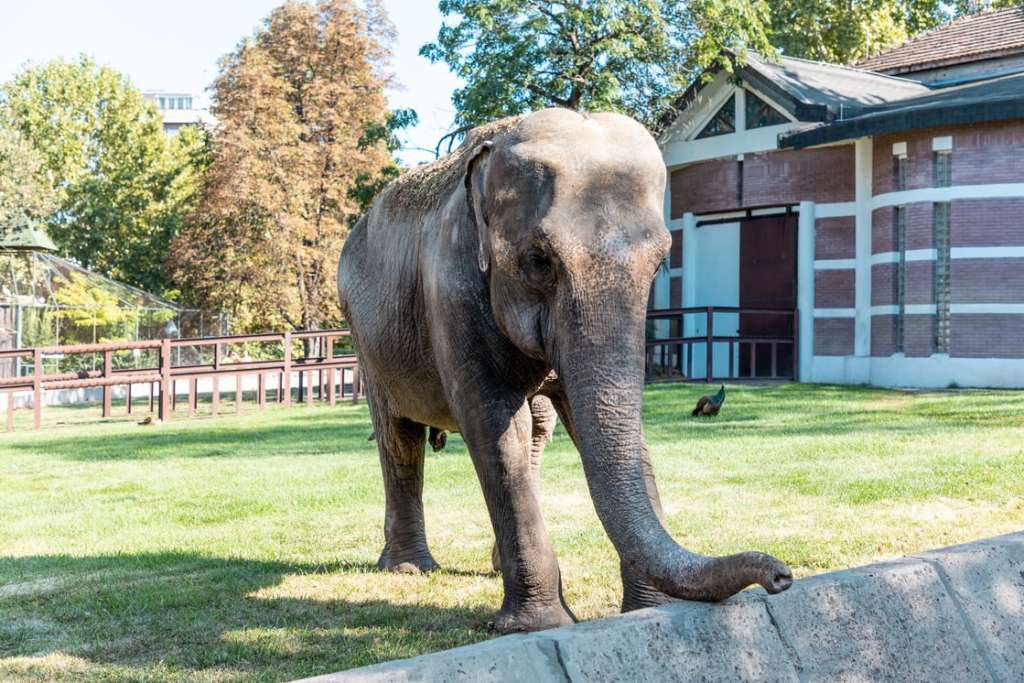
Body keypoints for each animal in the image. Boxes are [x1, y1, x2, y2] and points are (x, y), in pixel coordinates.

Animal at [335, 108, 790, 634]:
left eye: (660, 264)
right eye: (539, 260)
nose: (781, 575)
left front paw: (652, 610)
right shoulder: (449, 291)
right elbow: (494, 426)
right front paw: (538, 626)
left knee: (536, 429)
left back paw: (490, 565)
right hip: (367, 340)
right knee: (399, 436)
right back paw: (409, 568)